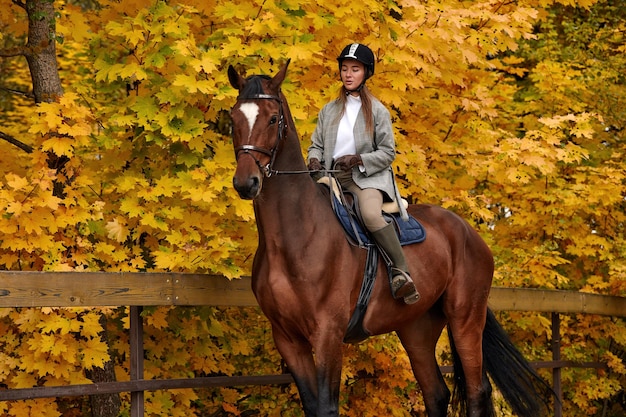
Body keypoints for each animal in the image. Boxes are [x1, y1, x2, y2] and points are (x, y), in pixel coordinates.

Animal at [227, 59, 548, 416]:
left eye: (272, 118)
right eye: (233, 118)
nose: (246, 182)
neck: (294, 237)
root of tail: (468, 232)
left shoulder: (327, 335)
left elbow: (326, 406)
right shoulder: (287, 339)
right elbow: (312, 406)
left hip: (466, 319)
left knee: (477, 391)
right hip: (416, 327)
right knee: (436, 393)